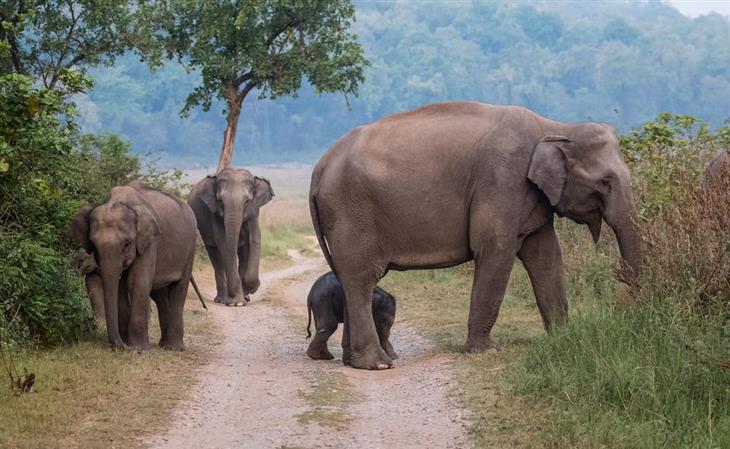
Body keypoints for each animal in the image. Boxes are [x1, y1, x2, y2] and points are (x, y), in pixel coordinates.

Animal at [70, 180, 196, 348]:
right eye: (94, 245)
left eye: (127, 243)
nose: (122, 346)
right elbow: (120, 284)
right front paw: (128, 345)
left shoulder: (150, 241)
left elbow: (137, 281)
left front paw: (137, 349)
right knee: (160, 294)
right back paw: (163, 344)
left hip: (190, 247)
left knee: (180, 287)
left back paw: (174, 348)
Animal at [188, 166, 272, 306]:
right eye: (220, 201)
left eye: (247, 201)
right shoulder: (214, 212)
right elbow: (223, 242)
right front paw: (237, 302)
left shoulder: (254, 210)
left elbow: (254, 238)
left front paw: (248, 291)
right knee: (216, 258)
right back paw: (222, 299)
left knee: (241, 254)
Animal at [310, 103, 640, 370]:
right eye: (605, 182)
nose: (627, 311)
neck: (555, 127)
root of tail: (318, 169)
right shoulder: (503, 180)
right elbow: (496, 251)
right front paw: (486, 351)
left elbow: (546, 257)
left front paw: (563, 337)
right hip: (351, 213)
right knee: (361, 279)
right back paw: (376, 365)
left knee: (350, 280)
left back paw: (353, 361)